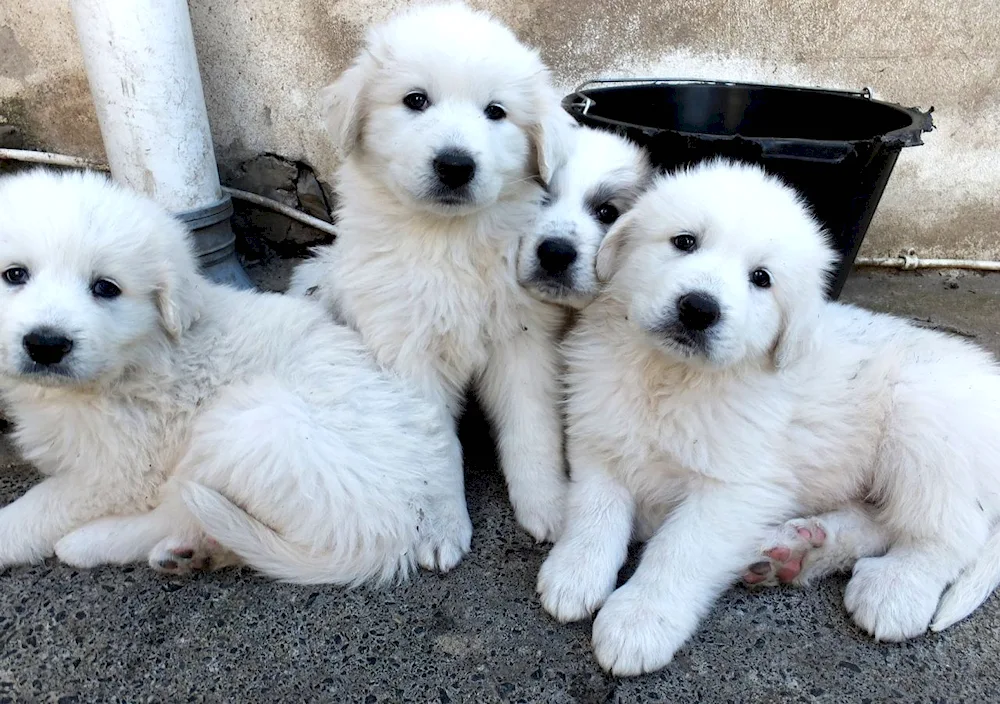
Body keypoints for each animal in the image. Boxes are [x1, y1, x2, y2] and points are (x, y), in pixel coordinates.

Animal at [0, 169, 472, 584]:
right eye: (14, 275)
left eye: (106, 287)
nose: (45, 344)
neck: (141, 356)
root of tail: (397, 533)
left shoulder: (123, 469)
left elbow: (43, 503)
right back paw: (193, 555)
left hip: (250, 422)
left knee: (179, 509)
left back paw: (92, 543)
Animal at [286, 4, 576, 540]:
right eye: (415, 100)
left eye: (496, 112)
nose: (455, 165)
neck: (448, 240)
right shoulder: (406, 352)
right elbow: (434, 446)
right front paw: (440, 530)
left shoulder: (522, 343)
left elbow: (532, 431)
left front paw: (549, 507)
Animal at [536, 160, 1000, 676]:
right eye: (684, 241)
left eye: (761, 278)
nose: (698, 309)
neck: (672, 377)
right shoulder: (600, 438)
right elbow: (594, 511)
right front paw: (574, 573)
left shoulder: (736, 490)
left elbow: (679, 551)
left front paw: (638, 621)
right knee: (881, 520)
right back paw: (797, 550)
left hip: (925, 428)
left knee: (949, 534)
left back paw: (896, 588)